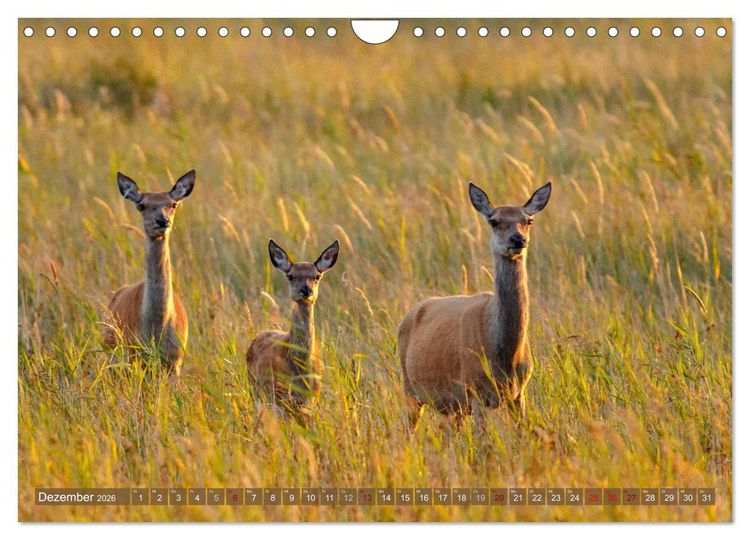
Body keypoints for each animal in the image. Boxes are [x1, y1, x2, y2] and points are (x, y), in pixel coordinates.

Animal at [103, 169, 196, 377]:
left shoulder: (175, 359)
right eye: (142, 205)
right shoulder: (136, 356)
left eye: (173, 204)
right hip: (110, 349)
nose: (162, 220)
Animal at [246, 239, 340, 413]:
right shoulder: (276, 396)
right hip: (257, 389)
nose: (306, 290)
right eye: (290, 276)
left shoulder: (311, 398)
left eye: (317, 276)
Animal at [397, 181, 552, 429]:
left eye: (528, 220)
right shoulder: (477, 390)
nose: (518, 239)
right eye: (494, 221)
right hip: (409, 387)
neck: (505, 357)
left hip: (454, 406)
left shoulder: (520, 393)